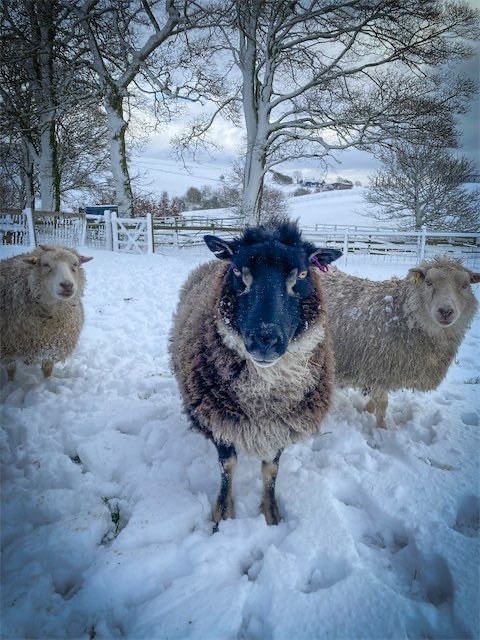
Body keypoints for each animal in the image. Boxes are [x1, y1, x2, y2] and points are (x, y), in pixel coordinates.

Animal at [0, 245, 93, 381]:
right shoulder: (7, 349)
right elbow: (11, 369)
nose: (67, 285)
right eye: (46, 264)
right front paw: (11, 382)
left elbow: (47, 368)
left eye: (75, 264)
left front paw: (47, 381)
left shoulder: (51, 347)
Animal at [170, 223, 342, 527]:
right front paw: (223, 515)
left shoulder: (282, 424)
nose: (265, 340)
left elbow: (271, 469)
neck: (264, 392)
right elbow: (228, 465)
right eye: (239, 271)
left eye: (301, 274)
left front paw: (271, 513)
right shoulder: (219, 418)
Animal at [322, 256, 480, 428]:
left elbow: (374, 401)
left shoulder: (379, 372)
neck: (403, 314)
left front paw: (365, 411)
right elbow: (382, 403)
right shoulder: (377, 367)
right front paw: (381, 429)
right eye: (428, 282)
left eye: (465, 285)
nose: (446, 311)